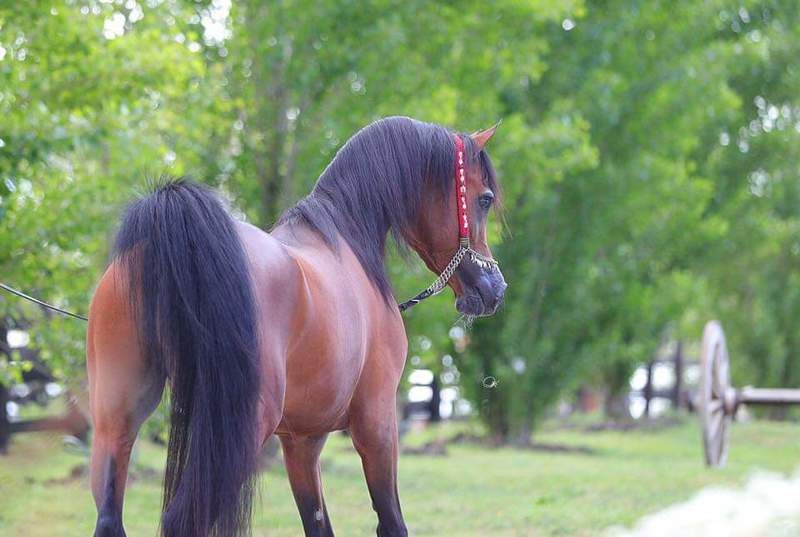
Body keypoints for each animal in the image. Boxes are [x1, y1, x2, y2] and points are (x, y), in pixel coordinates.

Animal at [86, 116, 506, 537]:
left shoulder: (302, 441)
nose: (495, 289)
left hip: (116, 422)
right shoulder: (378, 423)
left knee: (109, 517)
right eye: (484, 198)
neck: (345, 239)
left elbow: (318, 523)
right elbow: (391, 521)